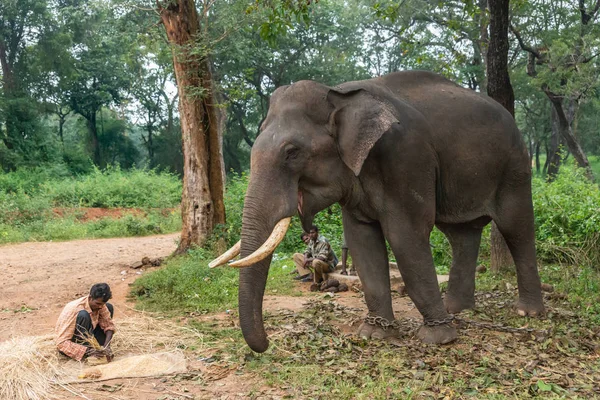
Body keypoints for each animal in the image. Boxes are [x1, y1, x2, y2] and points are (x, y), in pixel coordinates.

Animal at [213, 70, 548, 352]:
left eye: (292, 152)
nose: (266, 344)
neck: (339, 93)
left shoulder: (405, 157)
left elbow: (405, 237)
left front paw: (438, 338)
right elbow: (362, 240)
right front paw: (375, 334)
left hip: (515, 166)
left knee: (516, 228)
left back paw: (527, 312)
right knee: (461, 234)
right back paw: (458, 308)